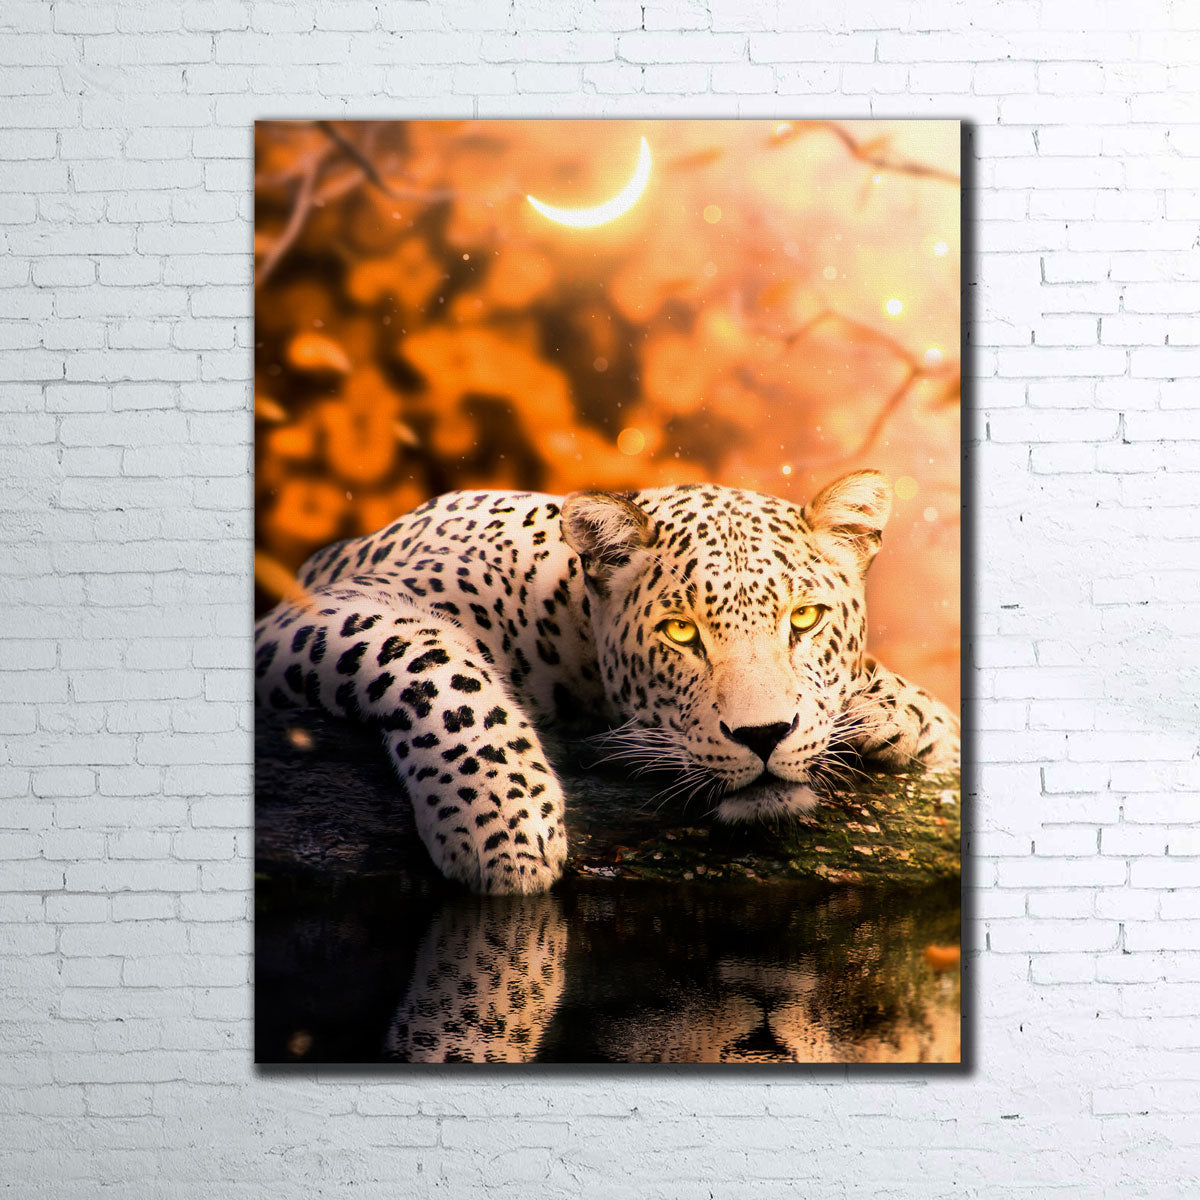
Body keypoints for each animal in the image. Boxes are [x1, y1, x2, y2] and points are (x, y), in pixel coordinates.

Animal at [254, 470, 960, 895]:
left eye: (805, 619)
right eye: (680, 632)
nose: (763, 735)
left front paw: (905, 713)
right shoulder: (321, 611)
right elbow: (433, 662)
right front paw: (505, 825)